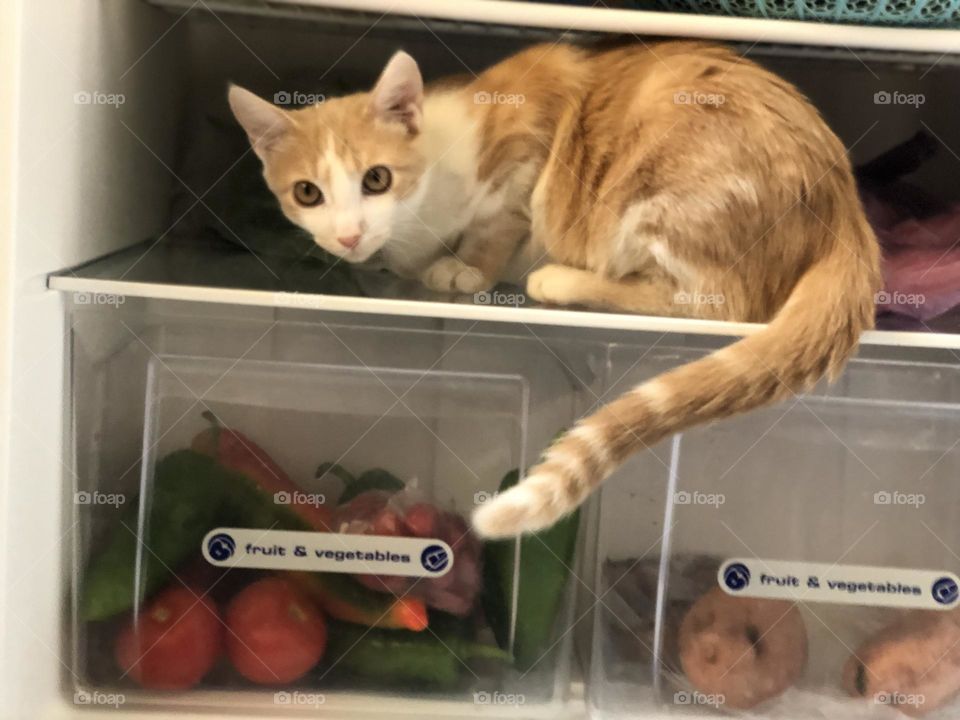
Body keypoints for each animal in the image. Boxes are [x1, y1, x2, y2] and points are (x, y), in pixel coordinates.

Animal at [229, 39, 880, 536]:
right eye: (307, 193)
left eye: (376, 179)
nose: (348, 236)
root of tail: (847, 204)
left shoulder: (525, 136)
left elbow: (501, 216)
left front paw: (467, 267)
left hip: (664, 191)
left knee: (713, 303)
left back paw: (560, 278)